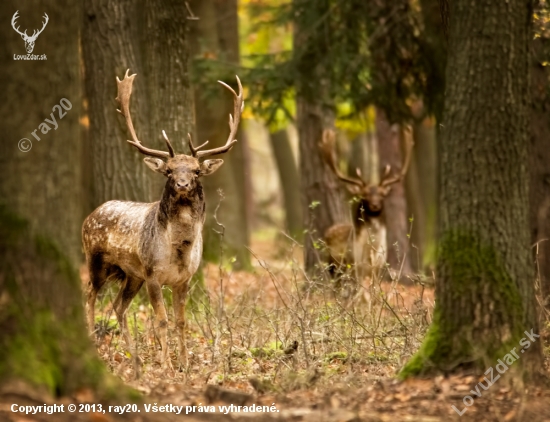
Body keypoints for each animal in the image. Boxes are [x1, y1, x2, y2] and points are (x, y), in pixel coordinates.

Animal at [83, 70, 245, 370]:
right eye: (169, 171)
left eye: (195, 171)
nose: (182, 184)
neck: (178, 249)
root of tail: (90, 215)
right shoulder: (153, 274)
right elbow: (161, 321)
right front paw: (167, 365)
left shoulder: (184, 279)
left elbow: (180, 321)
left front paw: (184, 363)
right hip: (97, 260)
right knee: (90, 294)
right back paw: (95, 348)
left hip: (131, 274)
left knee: (118, 306)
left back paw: (133, 356)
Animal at [320, 129, 414, 280]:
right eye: (364, 195)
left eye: (382, 195)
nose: (375, 205)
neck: (372, 250)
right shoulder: (355, 266)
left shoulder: (378, 267)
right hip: (333, 264)